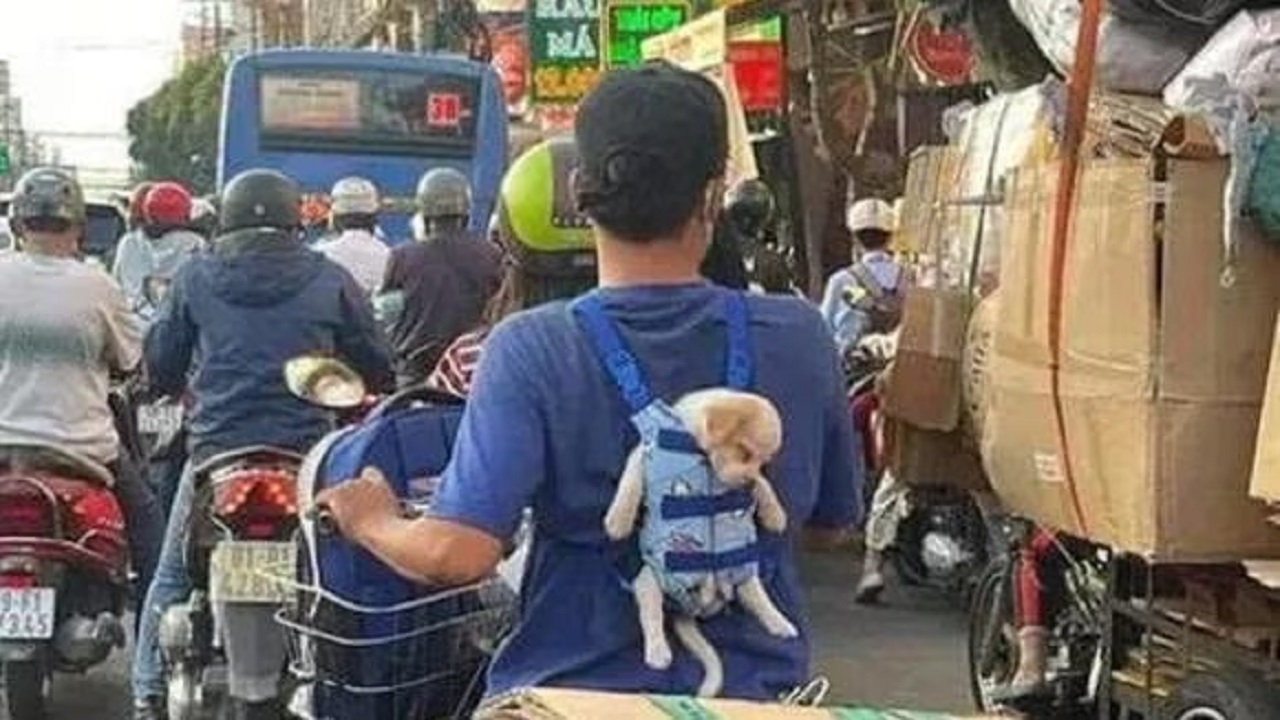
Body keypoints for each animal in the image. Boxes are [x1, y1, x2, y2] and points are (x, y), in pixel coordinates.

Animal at [604, 386, 793, 696]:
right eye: (745, 451)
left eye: (763, 461)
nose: (748, 484)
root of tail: (692, 608)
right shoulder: (641, 455)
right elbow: (629, 483)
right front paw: (617, 521)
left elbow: (766, 486)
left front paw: (774, 512)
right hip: (649, 581)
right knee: (651, 615)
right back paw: (658, 652)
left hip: (743, 574)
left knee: (758, 599)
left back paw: (781, 623)